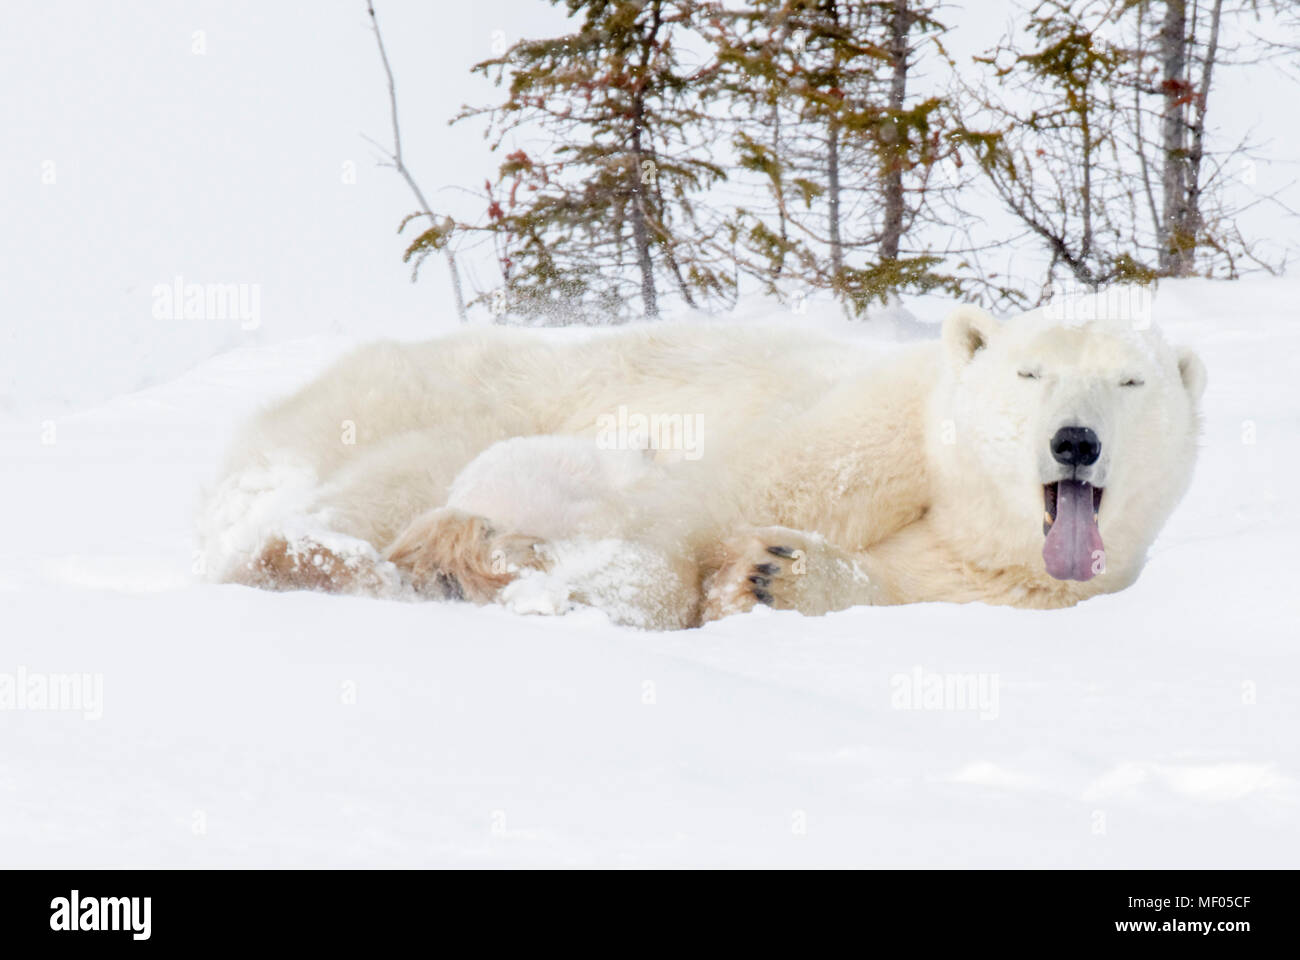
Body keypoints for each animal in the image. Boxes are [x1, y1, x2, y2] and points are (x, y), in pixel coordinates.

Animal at [200, 300, 1206, 629]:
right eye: (1030, 372)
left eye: (1130, 381)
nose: (1075, 442)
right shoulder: (864, 432)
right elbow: (705, 496)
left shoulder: (1018, 589)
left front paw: (769, 573)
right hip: (448, 396)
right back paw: (342, 559)